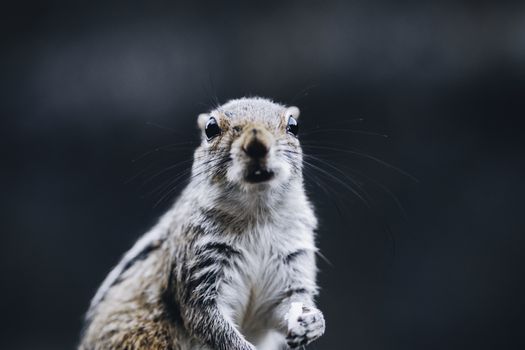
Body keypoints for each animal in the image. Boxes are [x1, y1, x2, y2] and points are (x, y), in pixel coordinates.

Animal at [79, 97, 324, 348]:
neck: (256, 214)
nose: (257, 144)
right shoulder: (197, 267)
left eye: (293, 126)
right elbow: (208, 321)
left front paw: (312, 322)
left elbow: (283, 305)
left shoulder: (293, 258)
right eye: (211, 128)